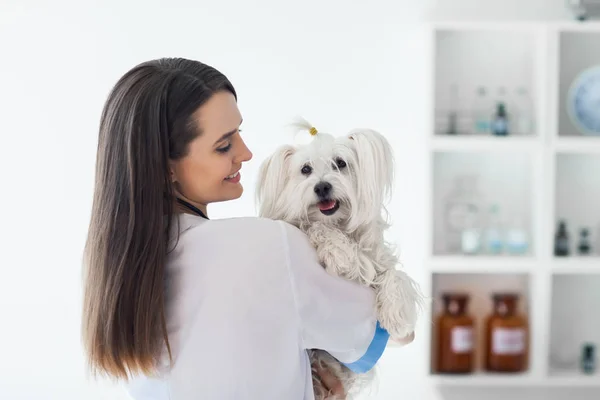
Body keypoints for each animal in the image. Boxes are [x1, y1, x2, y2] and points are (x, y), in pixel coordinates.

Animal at [255, 120, 424, 398]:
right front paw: (343, 255)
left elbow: (395, 275)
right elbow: (316, 228)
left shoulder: (380, 261)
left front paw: (397, 315)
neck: (338, 223)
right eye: (305, 169)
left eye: (340, 163)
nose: (322, 186)